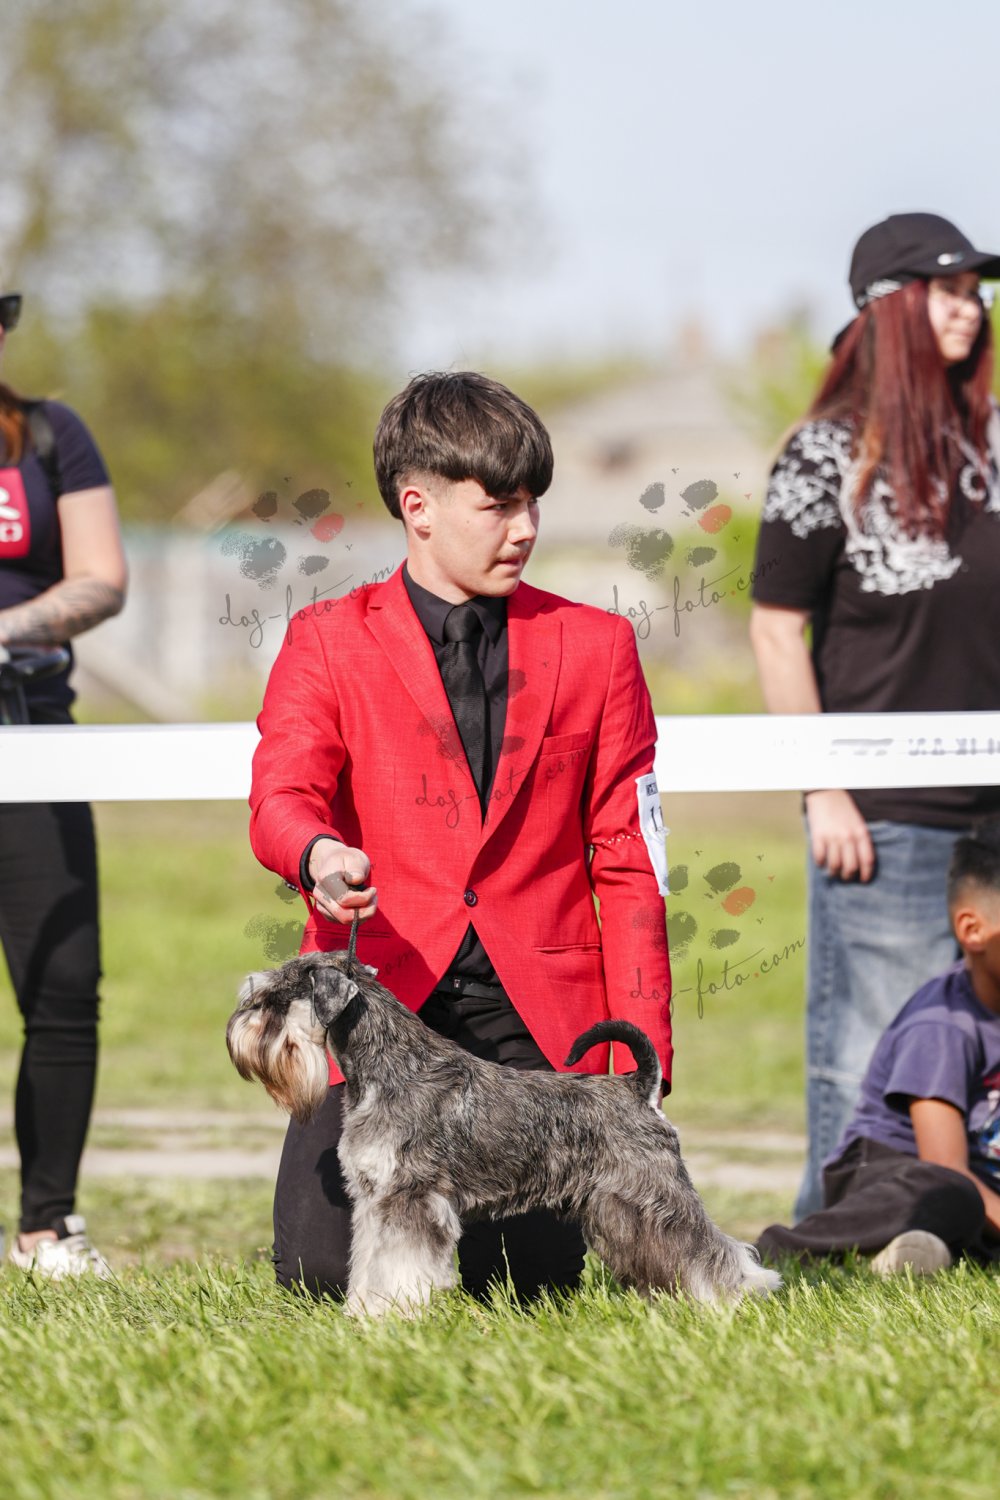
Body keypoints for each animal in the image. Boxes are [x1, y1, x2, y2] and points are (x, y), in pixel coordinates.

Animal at [227, 948, 781, 1315]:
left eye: (274, 1001)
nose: (236, 1034)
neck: (389, 1067)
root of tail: (637, 1087)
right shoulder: (373, 1200)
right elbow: (368, 1260)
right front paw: (362, 1312)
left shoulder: (410, 1199)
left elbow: (398, 1264)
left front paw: (390, 1316)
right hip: (621, 1211)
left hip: (655, 1195)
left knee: (710, 1248)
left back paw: (737, 1297)